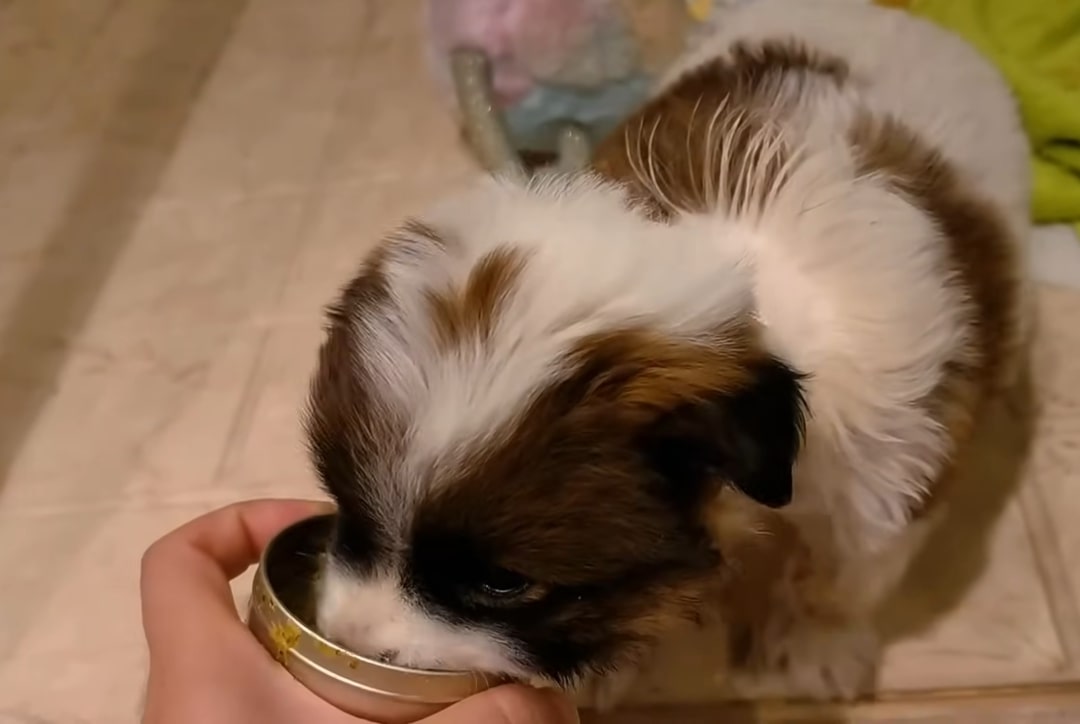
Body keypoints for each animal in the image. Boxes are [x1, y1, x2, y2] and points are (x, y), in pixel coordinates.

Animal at [306, 0, 1028, 704]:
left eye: (503, 583)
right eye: (348, 510)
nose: (347, 638)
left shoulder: (885, 475)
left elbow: (841, 577)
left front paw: (811, 648)